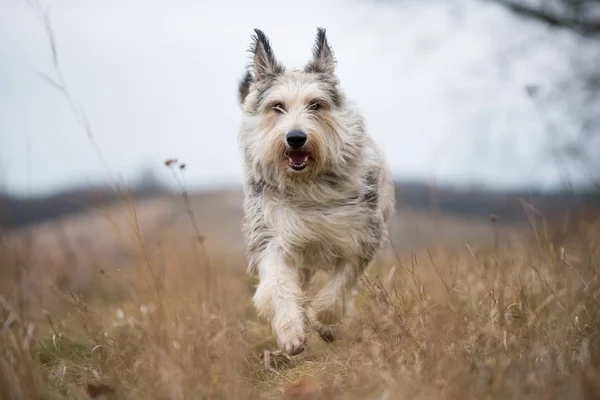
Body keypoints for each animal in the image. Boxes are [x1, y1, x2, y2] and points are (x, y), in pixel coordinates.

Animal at [237, 26, 396, 354]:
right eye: (277, 106)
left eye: (316, 105)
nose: (296, 137)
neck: (309, 185)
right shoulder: (272, 234)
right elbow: (279, 284)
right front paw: (291, 331)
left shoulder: (361, 233)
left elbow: (341, 283)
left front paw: (323, 320)